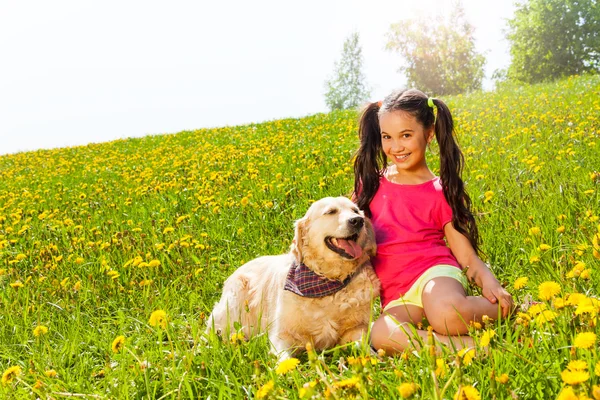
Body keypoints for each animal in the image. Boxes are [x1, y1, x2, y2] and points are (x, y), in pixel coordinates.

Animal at [204, 197, 378, 360]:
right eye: (331, 212)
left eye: (355, 210)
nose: (358, 221)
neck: (327, 280)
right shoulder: (282, 335)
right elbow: (285, 361)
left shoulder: (356, 329)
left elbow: (363, 344)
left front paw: (375, 359)